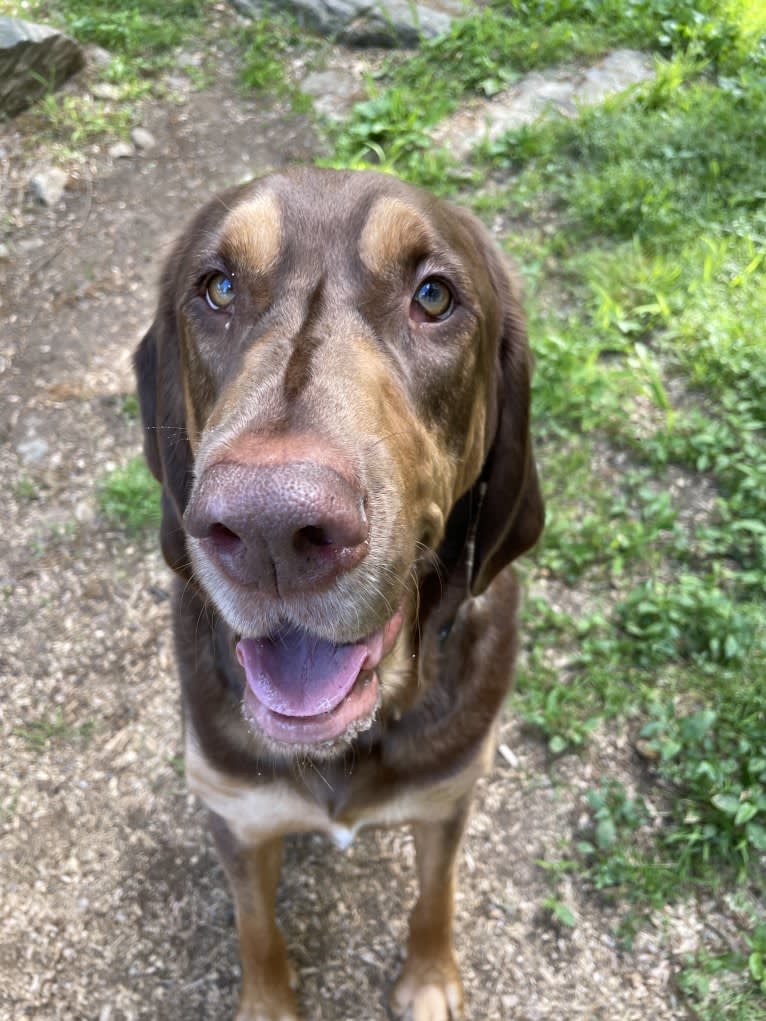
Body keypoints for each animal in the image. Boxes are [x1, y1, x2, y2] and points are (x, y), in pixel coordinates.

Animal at [134, 169, 543, 1021]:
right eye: (219, 288)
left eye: (433, 296)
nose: (269, 527)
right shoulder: (239, 815)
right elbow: (257, 930)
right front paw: (267, 1003)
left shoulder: (448, 795)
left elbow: (435, 895)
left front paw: (429, 978)